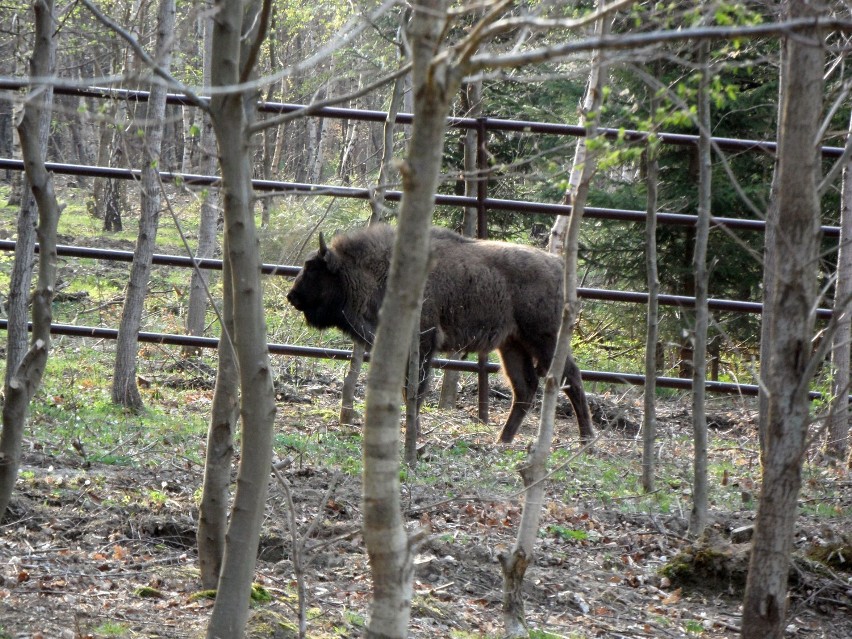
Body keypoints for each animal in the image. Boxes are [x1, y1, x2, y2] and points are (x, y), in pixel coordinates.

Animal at [286, 226, 592, 444]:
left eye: (313, 268)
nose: (292, 296)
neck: (373, 271)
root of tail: (557, 265)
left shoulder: (423, 344)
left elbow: (415, 391)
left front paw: (413, 431)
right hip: (512, 345)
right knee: (525, 387)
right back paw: (502, 440)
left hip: (544, 340)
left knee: (571, 377)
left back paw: (586, 439)